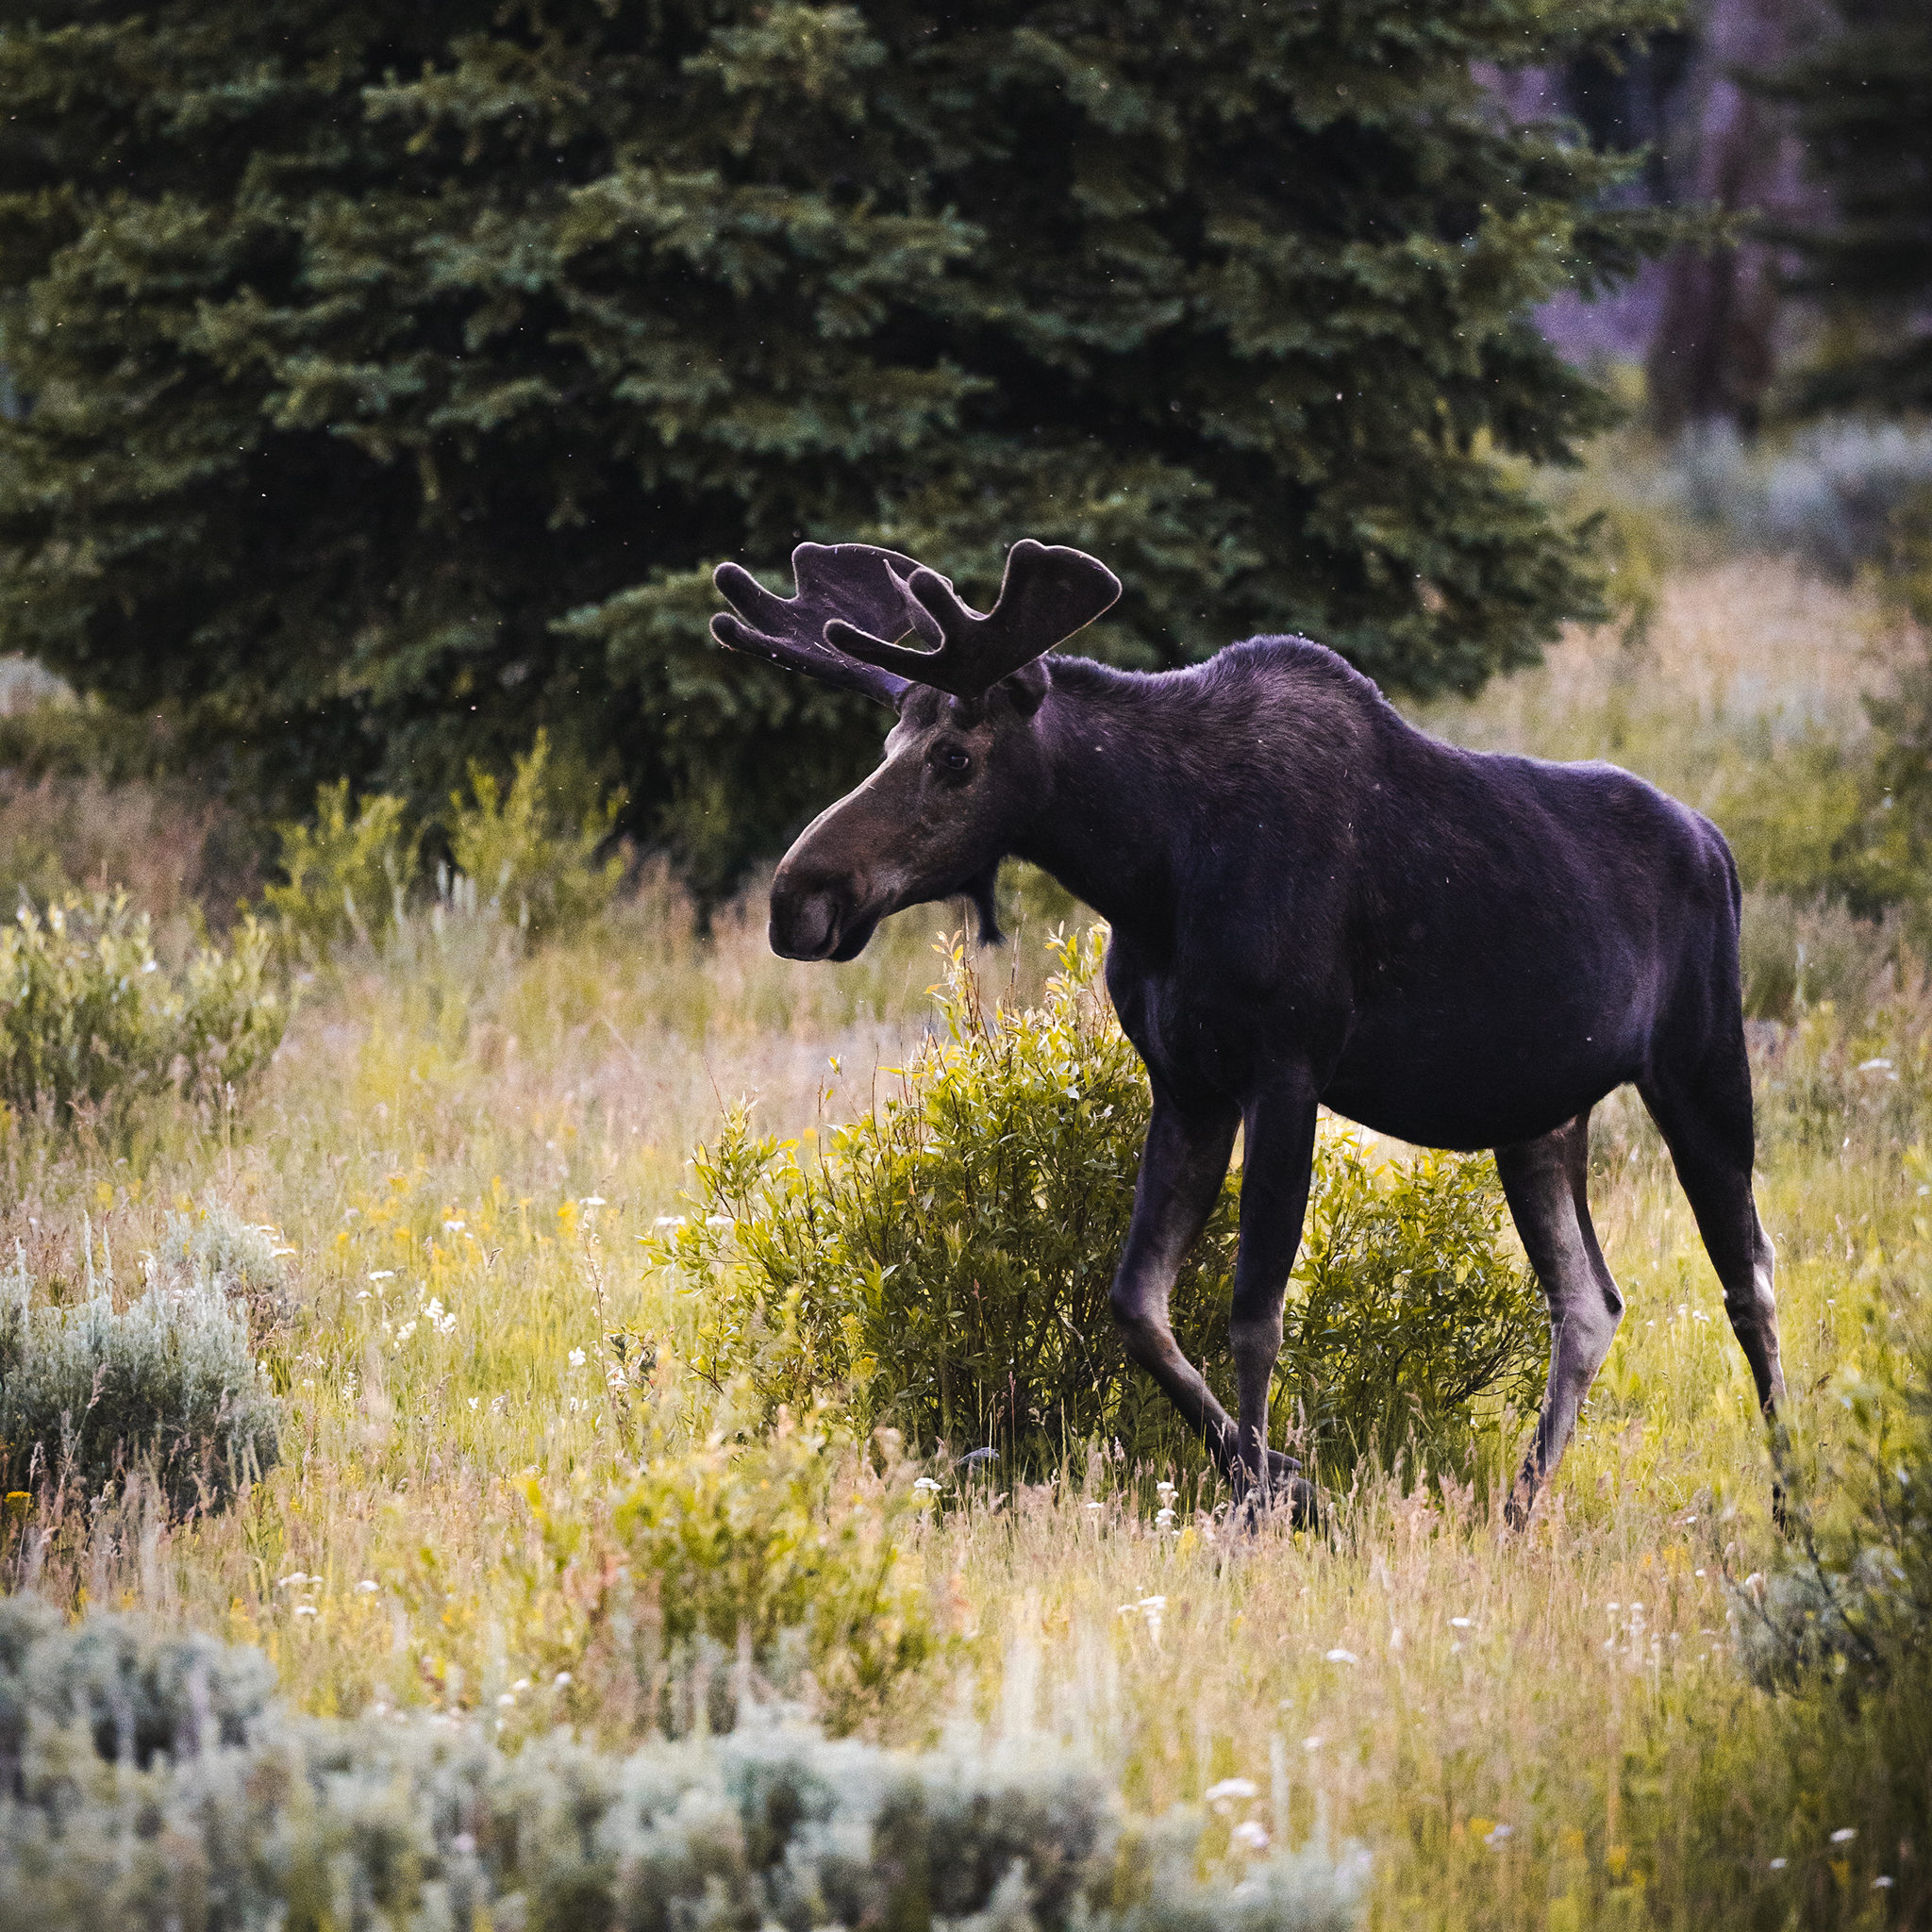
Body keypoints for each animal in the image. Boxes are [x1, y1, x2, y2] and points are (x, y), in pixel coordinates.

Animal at [710, 541, 1777, 1522]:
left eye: (956, 757)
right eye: (889, 741)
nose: (798, 898)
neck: (1150, 865)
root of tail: (1721, 848)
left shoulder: (1287, 1067)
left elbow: (1253, 1314)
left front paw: (1256, 1509)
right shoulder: (1187, 1081)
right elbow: (1136, 1306)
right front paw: (1283, 1480)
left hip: (1701, 1067)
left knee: (1749, 1282)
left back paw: (1789, 1503)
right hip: (1538, 1117)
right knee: (1588, 1302)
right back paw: (1515, 1513)